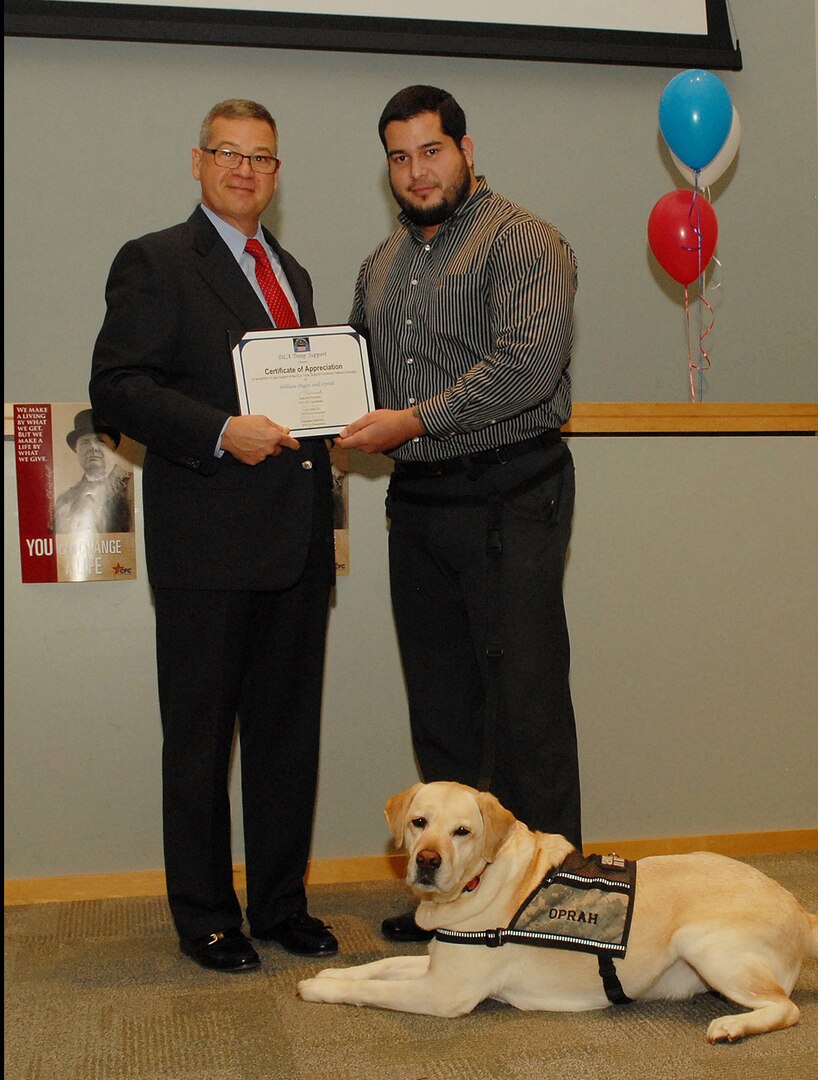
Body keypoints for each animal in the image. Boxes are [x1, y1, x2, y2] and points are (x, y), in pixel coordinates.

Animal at [298, 781, 816, 1041]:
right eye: (418, 822)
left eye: (462, 831)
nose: (427, 861)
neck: (480, 880)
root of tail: (797, 906)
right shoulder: (436, 961)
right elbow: (379, 966)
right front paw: (329, 975)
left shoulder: (444, 993)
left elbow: (374, 990)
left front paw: (321, 990)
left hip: (704, 943)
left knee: (786, 1008)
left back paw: (732, 1026)